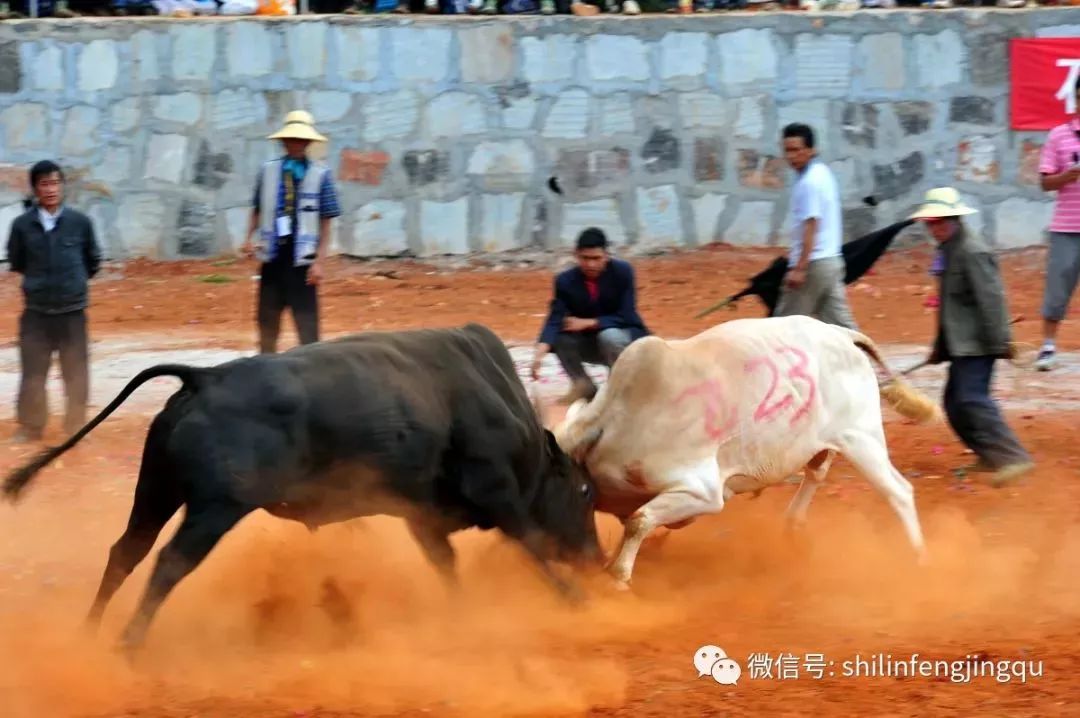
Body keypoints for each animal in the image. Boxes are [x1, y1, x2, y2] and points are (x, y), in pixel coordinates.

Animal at [2, 323, 600, 647]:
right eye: (584, 491)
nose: (595, 556)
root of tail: (206, 377)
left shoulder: (422, 516)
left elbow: (446, 564)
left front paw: (463, 611)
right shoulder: (498, 493)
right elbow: (531, 543)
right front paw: (573, 599)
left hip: (157, 492)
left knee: (127, 552)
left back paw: (90, 634)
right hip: (214, 508)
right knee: (168, 563)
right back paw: (128, 644)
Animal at [552, 313, 941, 587]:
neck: (615, 424)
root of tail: (842, 334)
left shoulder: (703, 492)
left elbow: (639, 521)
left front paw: (618, 577)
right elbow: (635, 522)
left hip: (862, 439)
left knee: (898, 491)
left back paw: (918, 558)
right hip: (823, 442)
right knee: (816, 474)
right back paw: (793, 528)